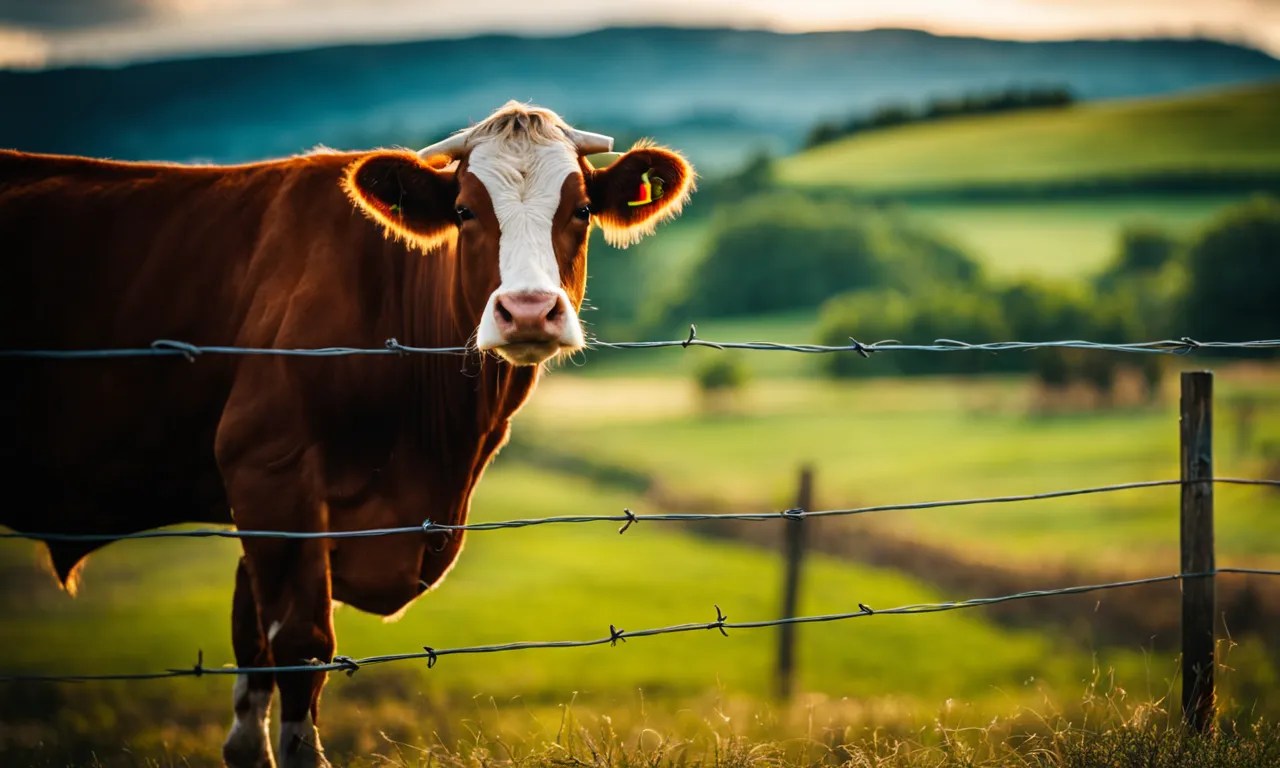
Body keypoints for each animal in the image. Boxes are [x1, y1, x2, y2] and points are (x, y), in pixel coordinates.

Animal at [0, 102, 694, 768]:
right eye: (465, 211)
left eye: (581, 209)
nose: (527, 310)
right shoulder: (268, 470)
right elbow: (301, 648)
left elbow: (252, 658)